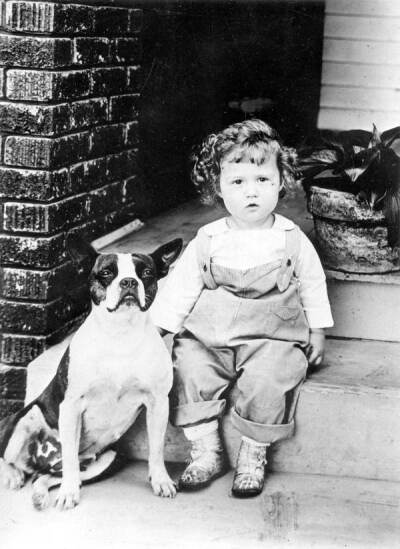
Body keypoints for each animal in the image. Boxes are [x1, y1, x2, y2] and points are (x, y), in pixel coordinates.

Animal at [0, 235, 184, 510]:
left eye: (147, 273)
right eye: (106, 273)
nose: (129, 281)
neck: (121, 333)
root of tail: (43, 462)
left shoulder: (158, 403)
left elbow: (157, 448)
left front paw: (161, 480)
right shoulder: (71, 405)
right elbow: (69, 457)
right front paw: (68, 494)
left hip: (106, 458)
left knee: (48, 477)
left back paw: (40, 494)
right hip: (25, 417)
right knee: (14, 459)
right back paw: (15, 476)